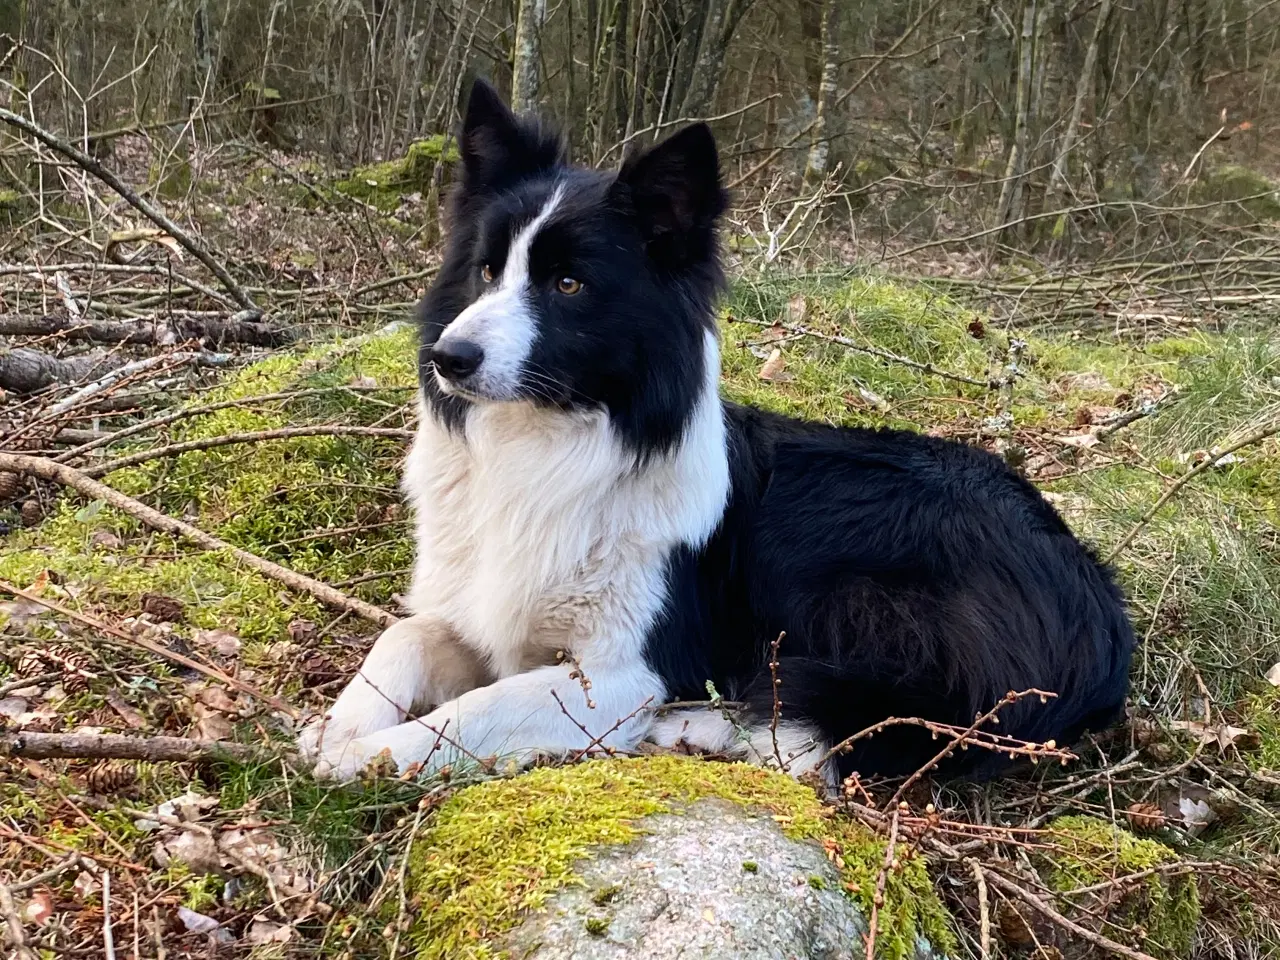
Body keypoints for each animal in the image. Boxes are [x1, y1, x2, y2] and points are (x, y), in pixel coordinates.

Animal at [302, 80, 1141, 788]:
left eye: (569, 284)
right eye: (484, 271)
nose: (449, 358)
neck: (547, 442)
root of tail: (1097, 599)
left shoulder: (623, 674)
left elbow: (477, 710)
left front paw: (371, 756)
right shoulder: (478, 613)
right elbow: (402, 637)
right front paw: (339, 726)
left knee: (898, 722)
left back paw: (707, 728)